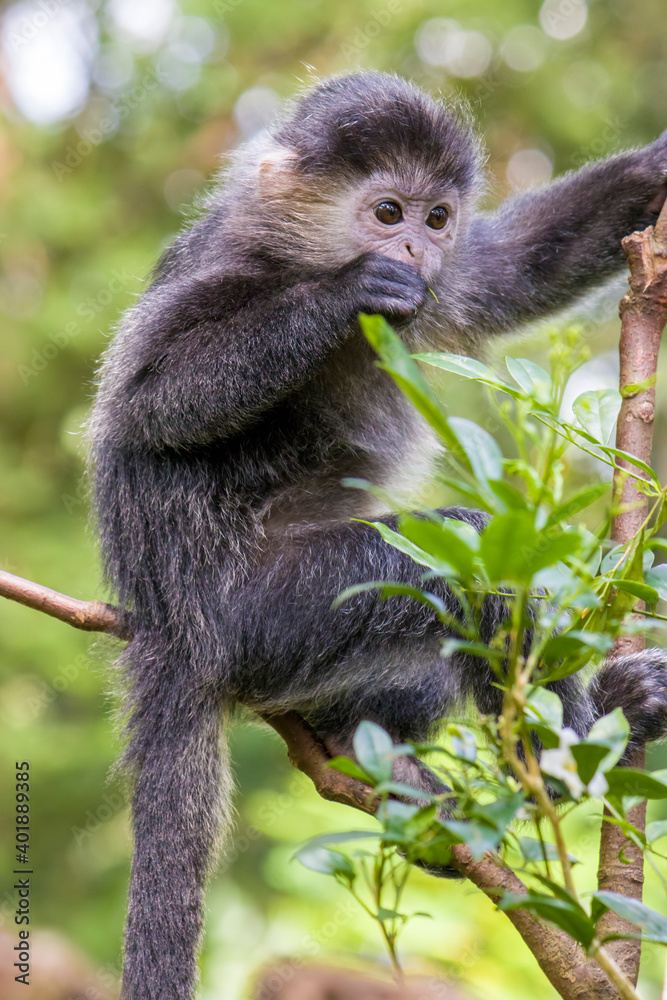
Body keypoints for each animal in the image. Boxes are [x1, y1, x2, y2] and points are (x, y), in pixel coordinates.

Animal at [90, 76, 667, 1000]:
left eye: (436, 217)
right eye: (386, 211)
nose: (413, 248)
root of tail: (169, 625)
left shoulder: (446, 277)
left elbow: (506, 269)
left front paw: (658, 165)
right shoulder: (230, 269)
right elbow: (151, 399)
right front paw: (348, 291)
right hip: (270, 612)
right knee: (467, 559)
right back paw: (572, 755)